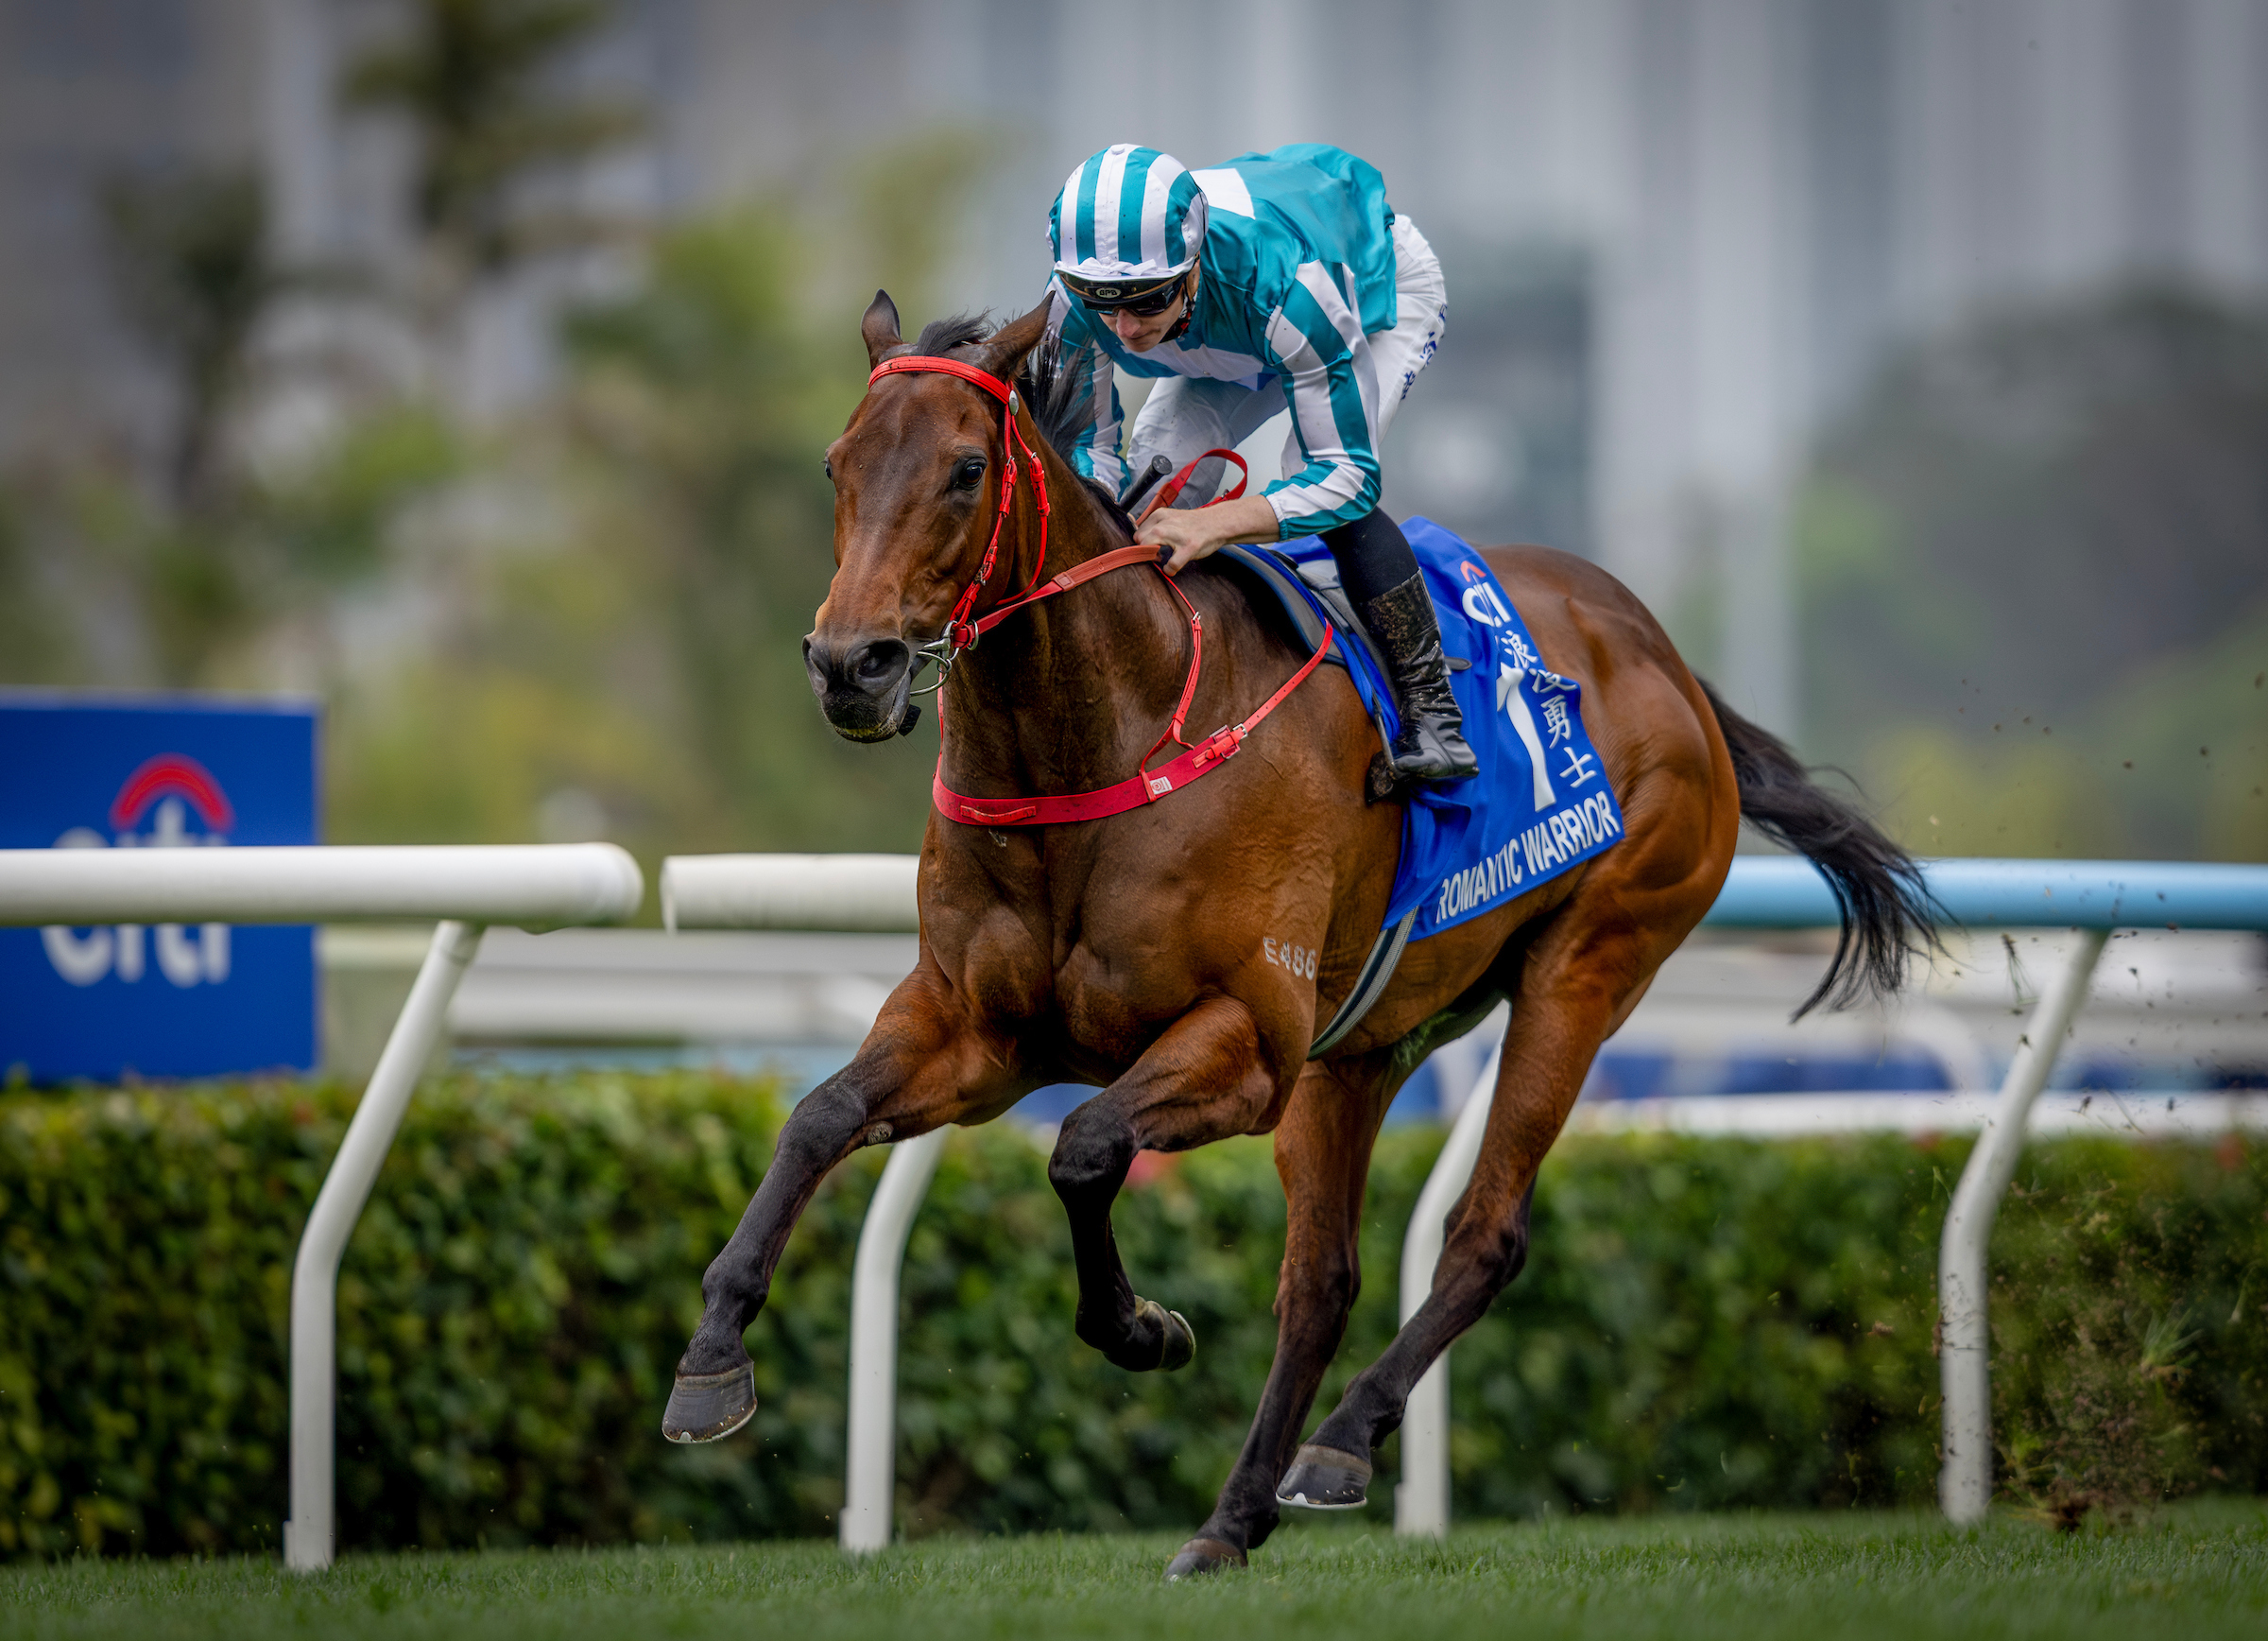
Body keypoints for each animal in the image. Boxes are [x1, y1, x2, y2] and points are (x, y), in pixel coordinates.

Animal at [663, 294, 1934, 1578]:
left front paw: (1142, 1325)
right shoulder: (976, 1030)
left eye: (967, 469)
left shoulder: (1248, 1042)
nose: (850, 664)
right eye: (837, 463)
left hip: (1587, 966)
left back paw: (1339, 1441)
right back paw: (1233, 1516)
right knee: (1322, 1277)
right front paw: (711, 1359)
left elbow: (1083, 1146)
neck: (1106, 738)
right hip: (1369, 1040)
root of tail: (1665, 657)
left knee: (1483, 1232)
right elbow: (820, 1115)